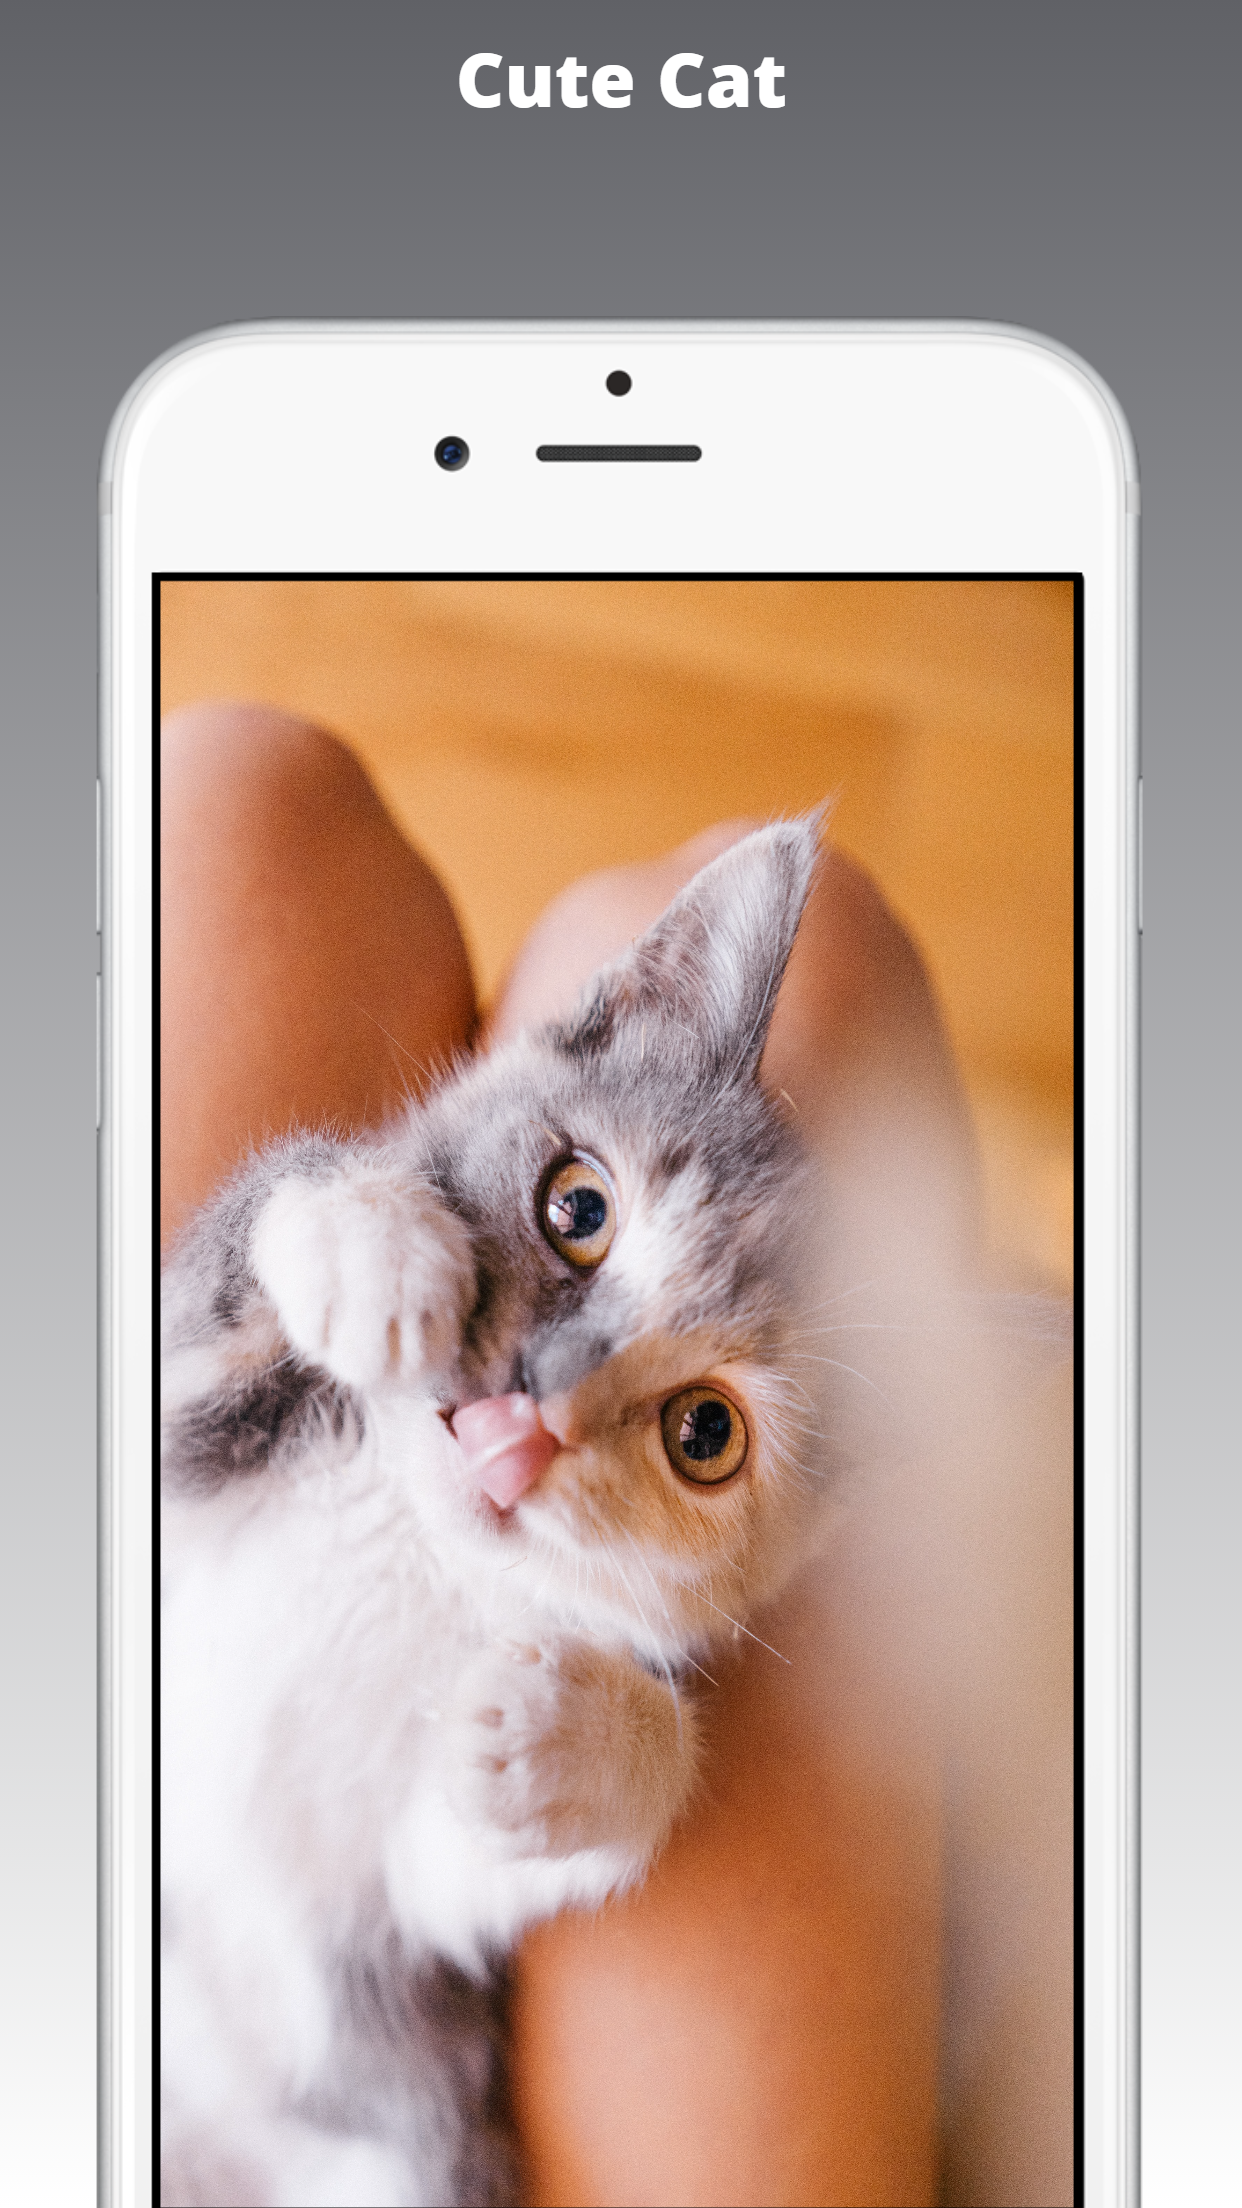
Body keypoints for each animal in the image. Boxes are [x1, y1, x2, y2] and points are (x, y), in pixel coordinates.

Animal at [159, 817, 831, 2208]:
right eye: (578, 1206)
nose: (536, 1400)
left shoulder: (386, 1916)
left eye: (705, 1435)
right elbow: (251, 1233)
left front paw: (571, 1735)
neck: (408, 1546)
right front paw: (368, 1242)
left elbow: (465, 1859)